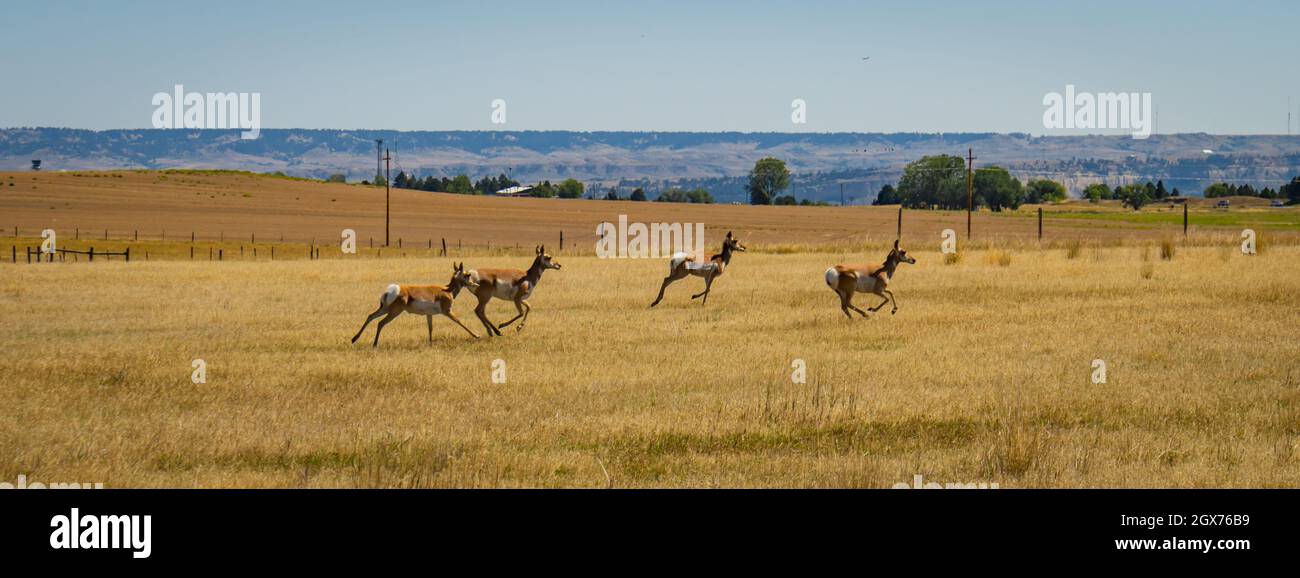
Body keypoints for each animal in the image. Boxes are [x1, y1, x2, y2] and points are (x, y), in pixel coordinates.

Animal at [351, 262, 480, 347]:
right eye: (467, 275)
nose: (476, 284)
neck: (447, 290)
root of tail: (390, 291)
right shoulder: (447, 311)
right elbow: (460, 321)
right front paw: (476, 335)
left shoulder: (429, 314)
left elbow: (430, 328)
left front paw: (430, 343)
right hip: (394, 312)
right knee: (380, 323)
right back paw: (374, 344)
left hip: (385, 309)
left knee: (370, 316)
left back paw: (354, 339)